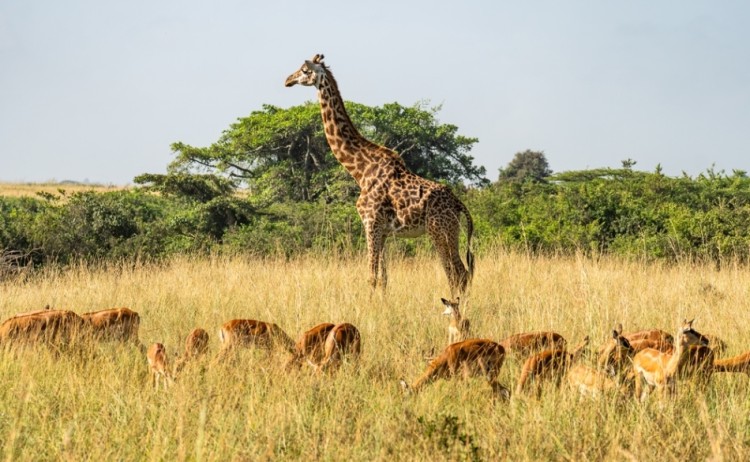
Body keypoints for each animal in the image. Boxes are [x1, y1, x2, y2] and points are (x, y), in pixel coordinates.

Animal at [285, 54, 474, 296]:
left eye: (304, 70)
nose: (287, 80)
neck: (360, 170)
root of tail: (459, 203)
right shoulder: (382, 230)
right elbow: (384, 279)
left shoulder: (371, 223)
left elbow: (372, 278)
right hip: (449, 231)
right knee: (461, 274)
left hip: (440, 231)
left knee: (457, 274)